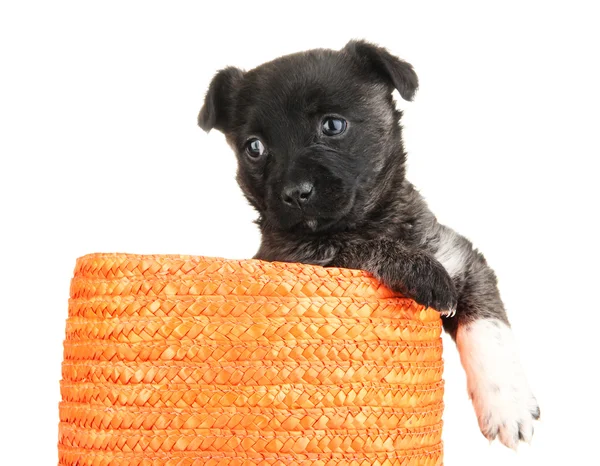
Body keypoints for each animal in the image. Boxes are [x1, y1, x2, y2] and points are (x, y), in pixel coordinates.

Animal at [199, 41, 540, 450]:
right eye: (254, 147)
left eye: (333, 125)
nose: (295, 193)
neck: (372, 221)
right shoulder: (300, 257)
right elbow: (358, 248)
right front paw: (419, 269)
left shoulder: (462, 259)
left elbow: (489, 327)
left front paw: (508, 407)